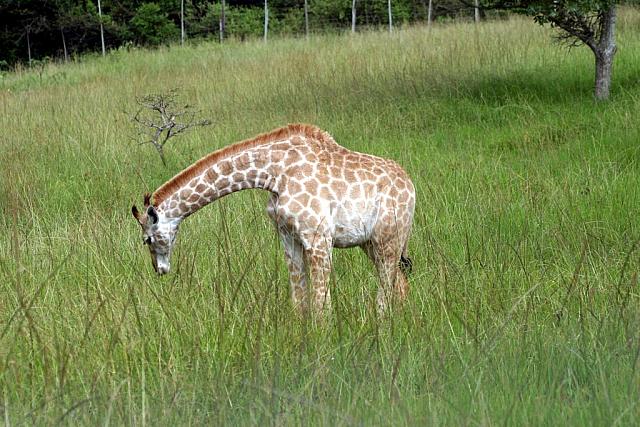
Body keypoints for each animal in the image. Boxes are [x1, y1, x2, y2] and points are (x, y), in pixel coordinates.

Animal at [132, 124, 416, 312]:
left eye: (147, 240)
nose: (159, 269)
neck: (273, 174)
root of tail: (411, 187)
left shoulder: (319, 237)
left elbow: (321, 303)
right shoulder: (288, 236)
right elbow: (300, 298)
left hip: (388, 239)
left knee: (387, 289)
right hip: (371, 243)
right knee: (399, 284)